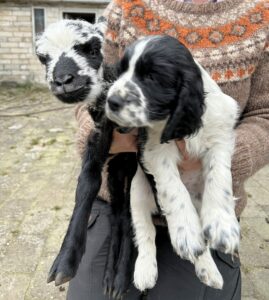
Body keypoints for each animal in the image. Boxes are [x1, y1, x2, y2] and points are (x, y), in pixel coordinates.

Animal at [105, 35, 240, 290]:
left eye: (151, 76)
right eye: (121, 70)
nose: (111, 101)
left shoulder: (221, 138)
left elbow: (220, 178)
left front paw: (223, 226)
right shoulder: (154, 150)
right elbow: (173, 188)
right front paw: (185, 233)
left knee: (202, 242)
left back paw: (209, 270)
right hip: (137, 193)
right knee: (146, 233)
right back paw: (145, 271)